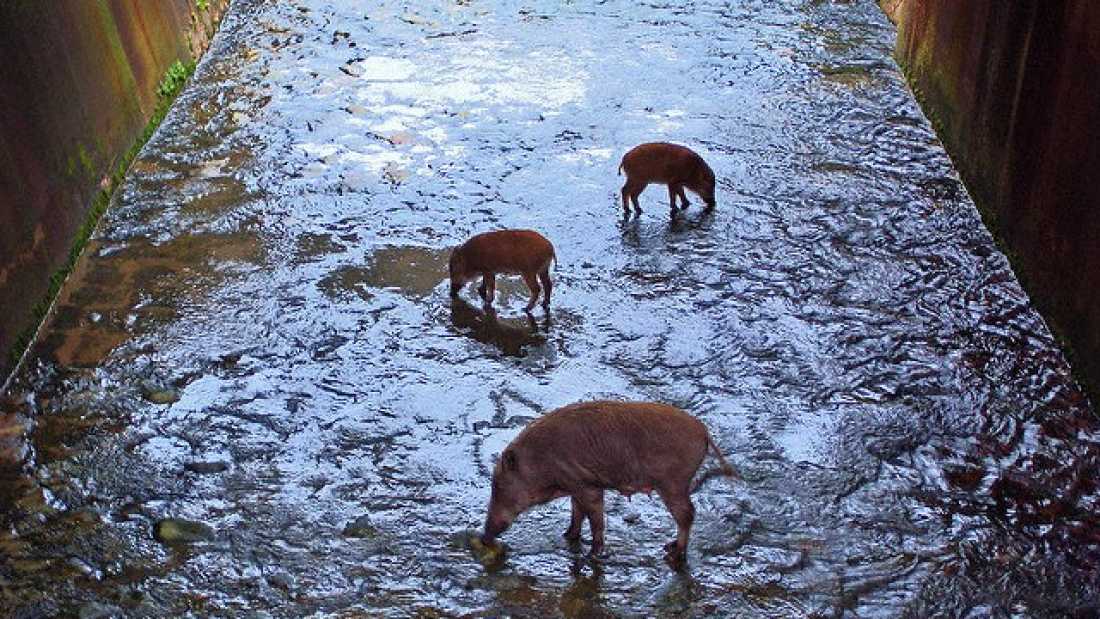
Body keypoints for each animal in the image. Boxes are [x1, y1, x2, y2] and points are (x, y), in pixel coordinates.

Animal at [481, 400, 736, 569]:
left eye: (498, 487)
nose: (484, 537)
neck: (541, 463)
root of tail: (704, 433)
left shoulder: (587, 485)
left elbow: (596, 520)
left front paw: (592, 555)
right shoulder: (576, 486)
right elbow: (577, 513)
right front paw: (567, 536)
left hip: (673, 482)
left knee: (687, 514)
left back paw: (672, 553)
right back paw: (669, 548)